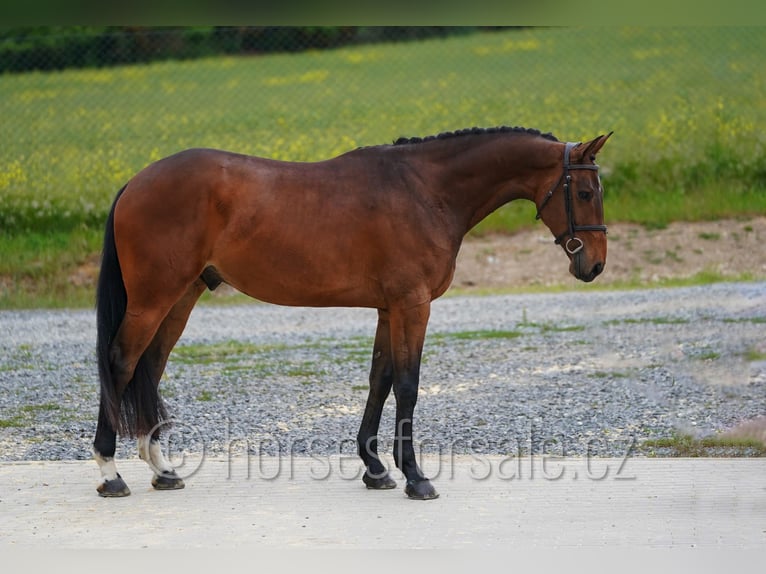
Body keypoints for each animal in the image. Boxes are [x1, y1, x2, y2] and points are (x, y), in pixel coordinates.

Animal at [93, 126, 612, 499]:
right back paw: (110, 472)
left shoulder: (388, 308)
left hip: (180, 299)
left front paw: (376, 468)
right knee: (121, 363)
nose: (595, 265)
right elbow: (407, 385)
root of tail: (136, 182)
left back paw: (162, 469)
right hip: (153, 299)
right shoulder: (412, 305)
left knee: (149, 367)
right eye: (586, 193)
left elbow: (379, 380)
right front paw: (416, 477)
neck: (425, 191)